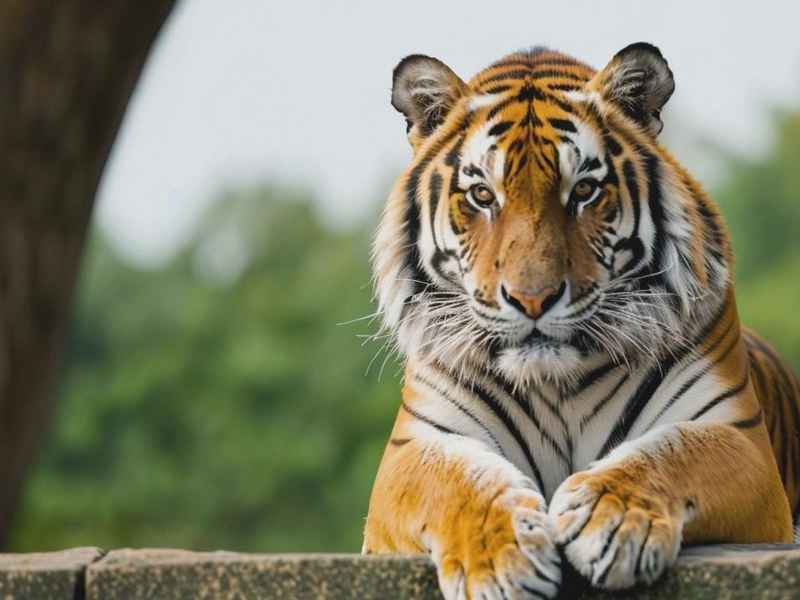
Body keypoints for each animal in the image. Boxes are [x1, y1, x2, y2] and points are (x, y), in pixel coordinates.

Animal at [362, 42, 800, 599]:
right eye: (483, 196)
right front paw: (499, 559)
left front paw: (610, 518)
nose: (532, 299)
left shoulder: (737, 438)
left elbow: (674, 450)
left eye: (585, 191)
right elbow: (456, 480)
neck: (556, 383)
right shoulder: (412, 449)